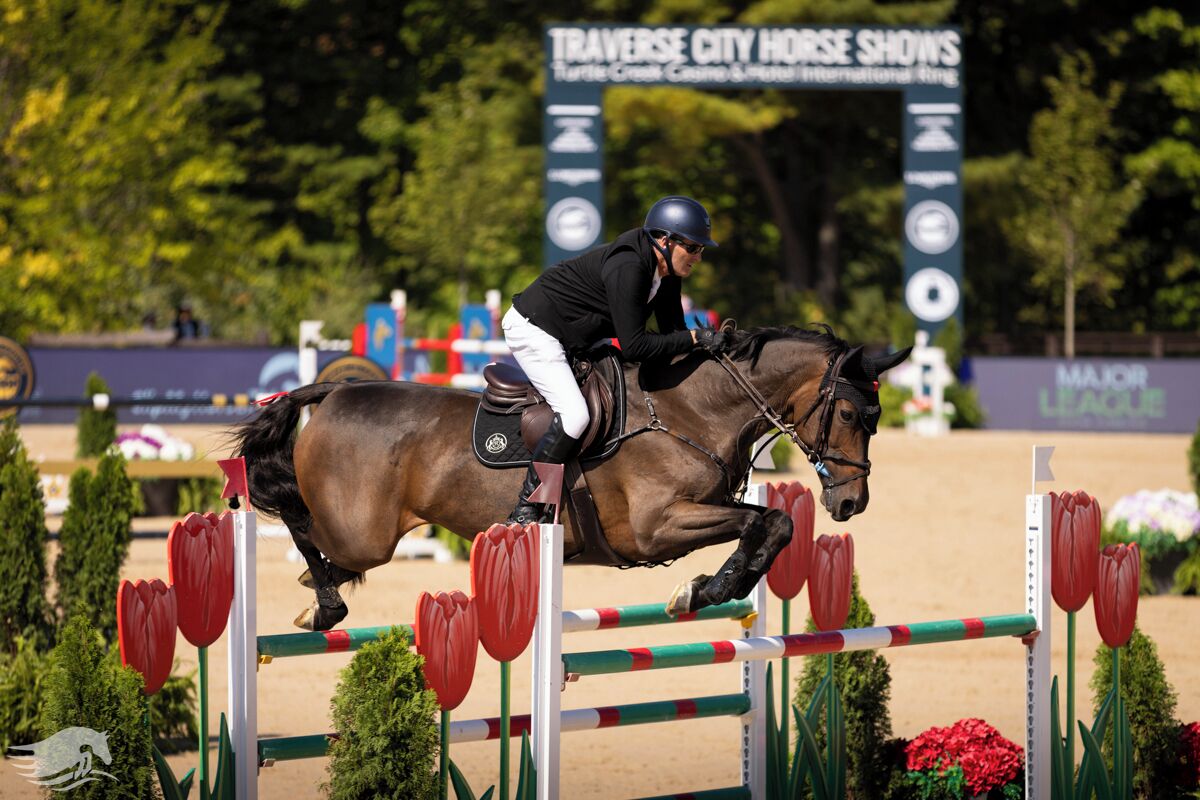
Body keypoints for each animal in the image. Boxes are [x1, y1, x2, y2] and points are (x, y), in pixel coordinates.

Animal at [233, 325, 909, 631]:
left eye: (876, 418)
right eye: (850, 414)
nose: (851, 502)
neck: (690, 411)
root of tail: (334, 391)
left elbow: (772, 524)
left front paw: (708, 588)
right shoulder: (656, 527)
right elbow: (769, 521)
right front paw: (702, 590)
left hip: (364, 532)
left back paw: (321, 587)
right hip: (362, 532)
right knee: (298, 523)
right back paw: (324, 602)